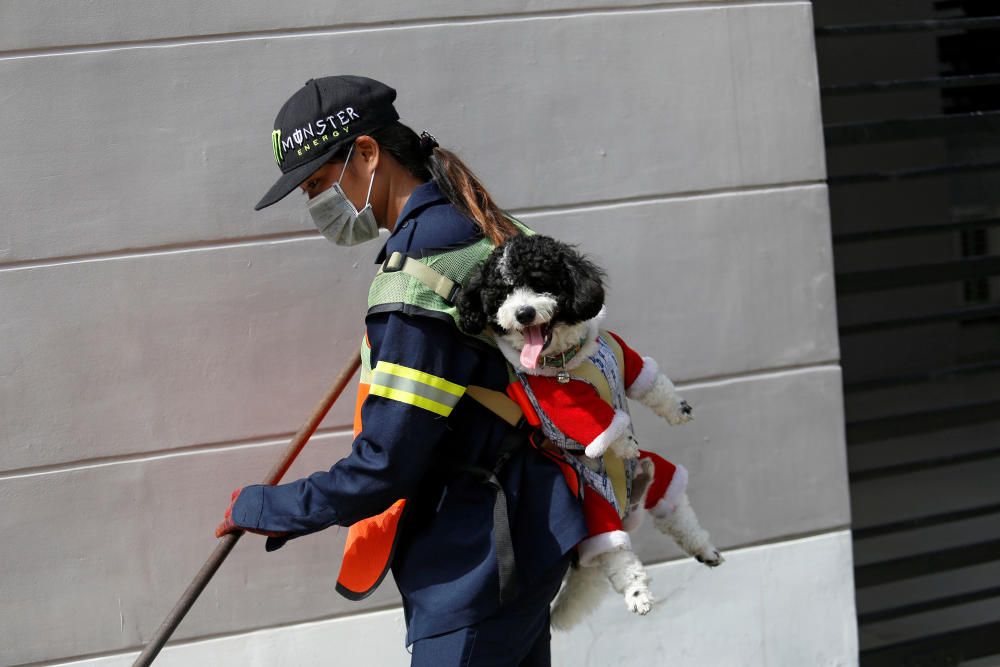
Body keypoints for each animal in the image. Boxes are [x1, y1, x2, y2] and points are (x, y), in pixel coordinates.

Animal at [458, 236, 724, 632]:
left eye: (539, 281)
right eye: (502, 293)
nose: (523, 313)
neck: (569, 360)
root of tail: (629, 506)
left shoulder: (622, 354)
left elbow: (649, 382)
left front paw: (678, 408)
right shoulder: (558, 400)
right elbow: (596, 421)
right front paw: (622, 441)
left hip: (656, 471)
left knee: (673, 506)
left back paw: (703, 549)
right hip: (597, 509)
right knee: (617, 553)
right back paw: (638, 595)